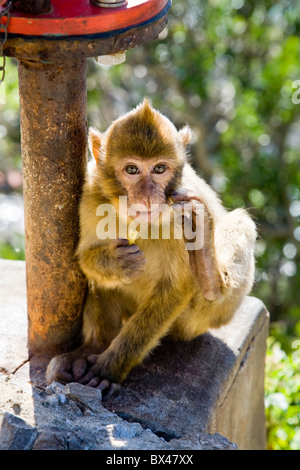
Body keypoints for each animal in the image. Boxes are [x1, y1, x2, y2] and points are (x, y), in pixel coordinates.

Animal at [45, 99, 256, 396]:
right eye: (132, 169)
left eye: (159, 169)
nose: (147, 197)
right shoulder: (91, 193)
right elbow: (85, 256)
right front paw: (116, 263)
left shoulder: (180, 206)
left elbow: (177, 285)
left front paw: (110, 368)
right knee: (101, 283)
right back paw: (92, 347)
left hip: (203, 318)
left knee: (241, 223)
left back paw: (209, 273)